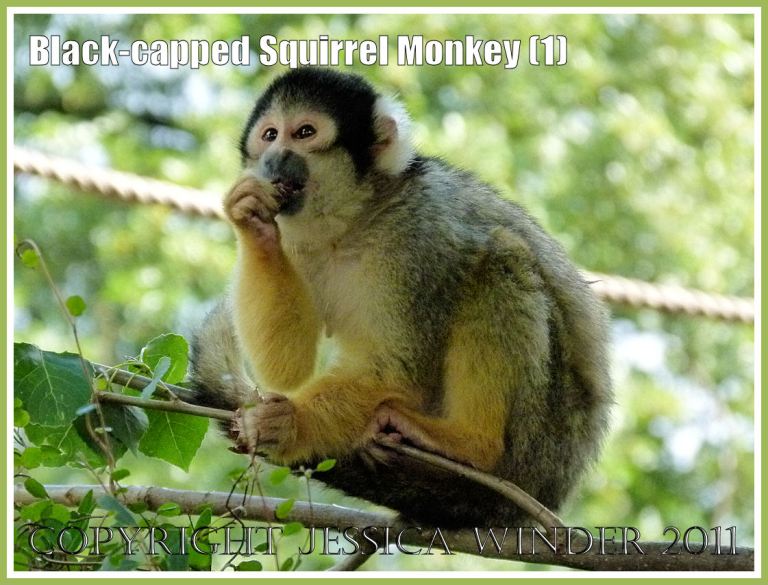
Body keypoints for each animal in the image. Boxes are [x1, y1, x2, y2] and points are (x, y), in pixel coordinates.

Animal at [190, 68, 613, 528]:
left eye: (304, 133)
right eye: (270, 135)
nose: (274, 157)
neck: (354, 219)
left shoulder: (418, 234)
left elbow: (397, 368)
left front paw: (291, 425)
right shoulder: (294, 237)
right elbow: (288, 367)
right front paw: (250, 219)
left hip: (542, 434)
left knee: (502, 257)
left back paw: (472, 443)